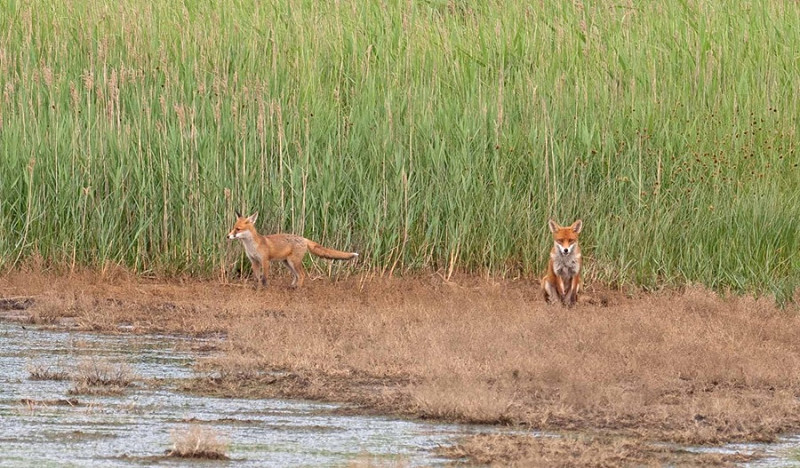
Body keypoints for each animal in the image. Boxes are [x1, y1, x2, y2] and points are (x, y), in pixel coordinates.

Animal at [227, 211, 358, 289]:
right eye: (233, 228)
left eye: (238, 229)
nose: (228, 236)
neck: (252, 246)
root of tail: (304, 239)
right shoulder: (254, 261)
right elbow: (256, 278)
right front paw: (257, 288)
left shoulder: (265, 261)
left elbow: (264, 278)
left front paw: (265, 289)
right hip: (287, 263)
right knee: (296, 275)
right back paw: (292, 287)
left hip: (293, 262)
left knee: (302, 275)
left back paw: (298, 289)